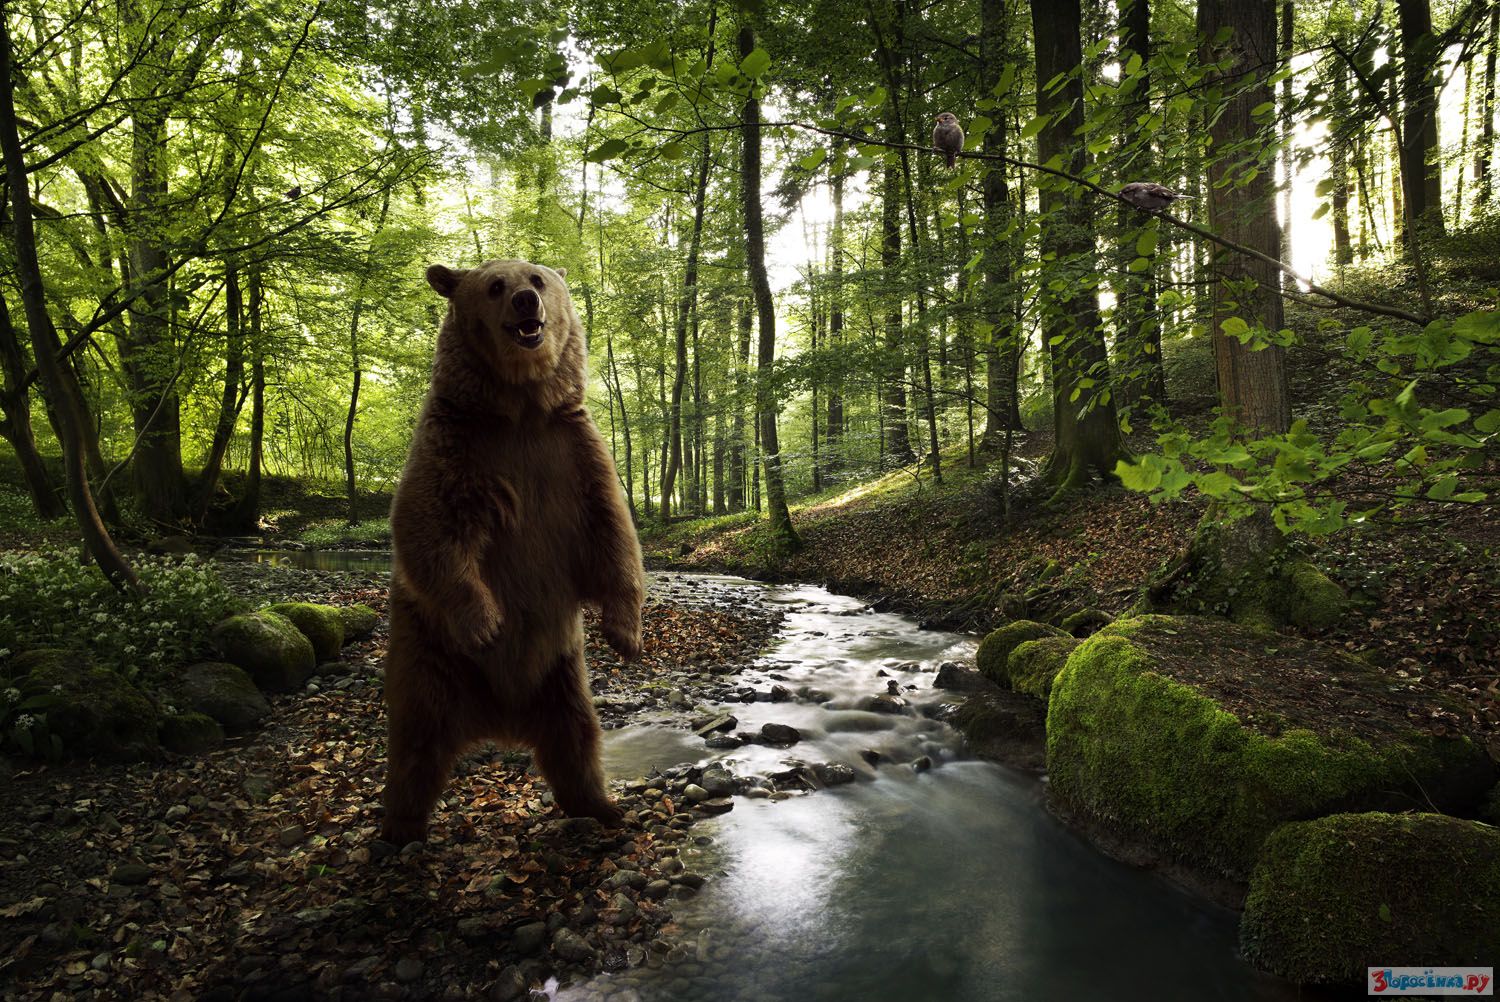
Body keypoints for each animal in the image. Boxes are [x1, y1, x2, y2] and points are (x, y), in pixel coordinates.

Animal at [378, 258, 642, 846]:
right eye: (495, 286)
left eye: (539, 279)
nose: (526, 302)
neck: (519, 408)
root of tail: (499, 718)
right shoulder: (454, 442)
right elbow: (427, 522)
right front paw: (486, 622)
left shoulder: (573, 449)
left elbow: (613, 529)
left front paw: (625, 634)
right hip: (429, 654)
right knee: (415, 742)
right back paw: (399, 828)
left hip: (563, 674)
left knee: (577, 736)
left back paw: (601, 806)